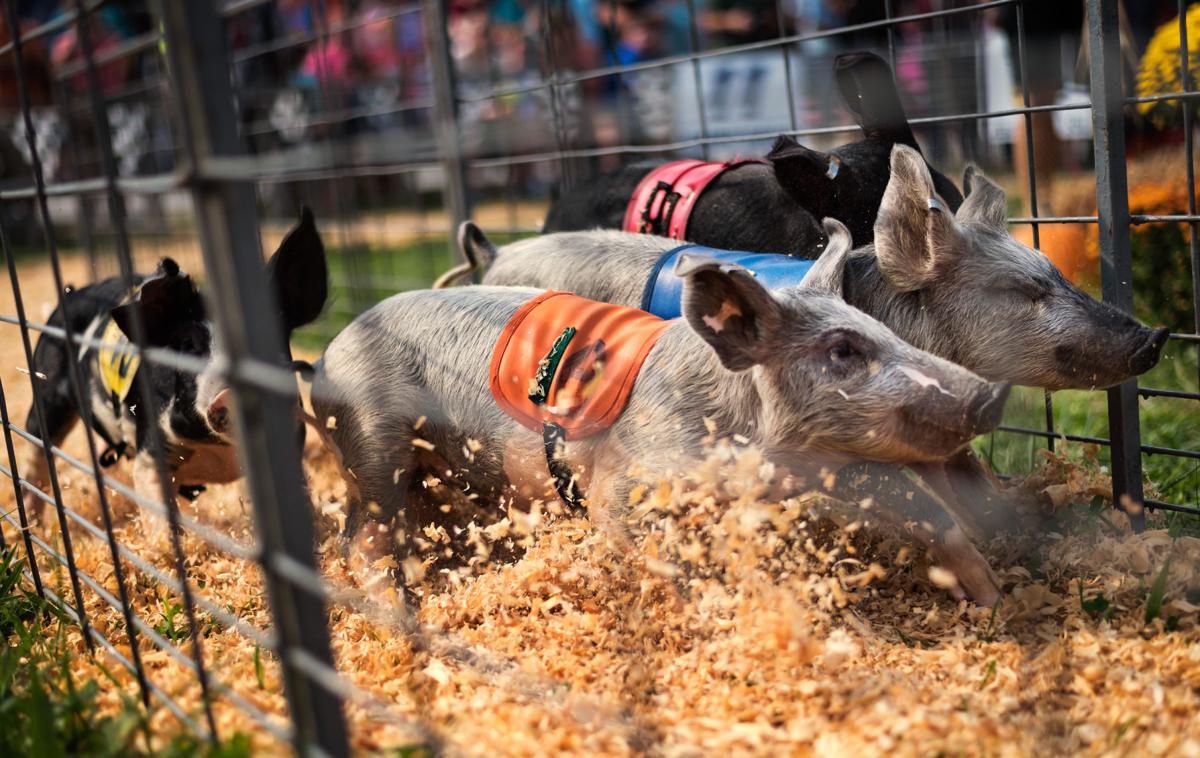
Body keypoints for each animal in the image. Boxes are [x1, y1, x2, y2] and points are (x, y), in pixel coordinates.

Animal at [18, 207, 327, 526]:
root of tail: (72, 293)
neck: (222, 452)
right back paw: (32, 521)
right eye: (188, 344)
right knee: (36, 450)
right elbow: (161, 518)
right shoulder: (150, 453)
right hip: (46, 390)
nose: (230, 392)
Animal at [311, 249, 1011, 603]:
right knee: (360, 538)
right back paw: (398, 606)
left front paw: (992, 597)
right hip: (374, 442)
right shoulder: (629, 476)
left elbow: (921, 509)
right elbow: (637, 532)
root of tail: (323, 359)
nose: (991, 393)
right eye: (842, 349)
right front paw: (713, 608)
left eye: (885, 331)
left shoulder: (826, 471)